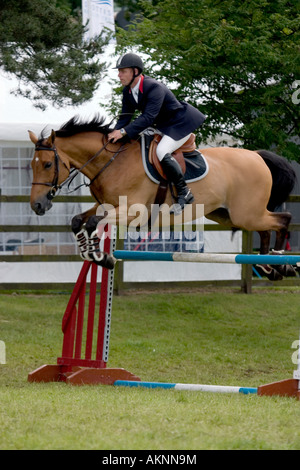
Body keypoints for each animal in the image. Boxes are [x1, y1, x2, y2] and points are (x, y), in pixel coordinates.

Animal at [29, 115, 296, 280]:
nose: (37, 205)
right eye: (32, 165)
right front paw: (91, 253)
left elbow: (94, 222)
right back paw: (267, 267)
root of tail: (258, 156)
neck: (112, 162)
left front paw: (100, 257)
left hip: (246, 214)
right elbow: (78, 221)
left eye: (48, 164)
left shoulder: (132, 212)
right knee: (266, 229)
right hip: (227, 215)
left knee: (283, 219)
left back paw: (281, 263)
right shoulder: (105, 205)